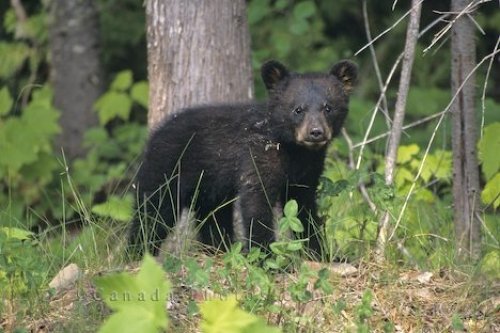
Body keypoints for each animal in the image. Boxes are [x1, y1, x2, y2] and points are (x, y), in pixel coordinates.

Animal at [127, 59, 358, 256]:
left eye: (328, 108)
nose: (316, 132)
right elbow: (257, 205)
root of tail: (154, 134)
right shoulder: (257, 157)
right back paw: (137, 253)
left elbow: (305, 209)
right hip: (167, 169)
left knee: (213, 217)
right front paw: (265, 256)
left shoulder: (307, 173)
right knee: (152, 212)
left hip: (210, 189)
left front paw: (319, 252)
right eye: (298, 109)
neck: (294, 151)